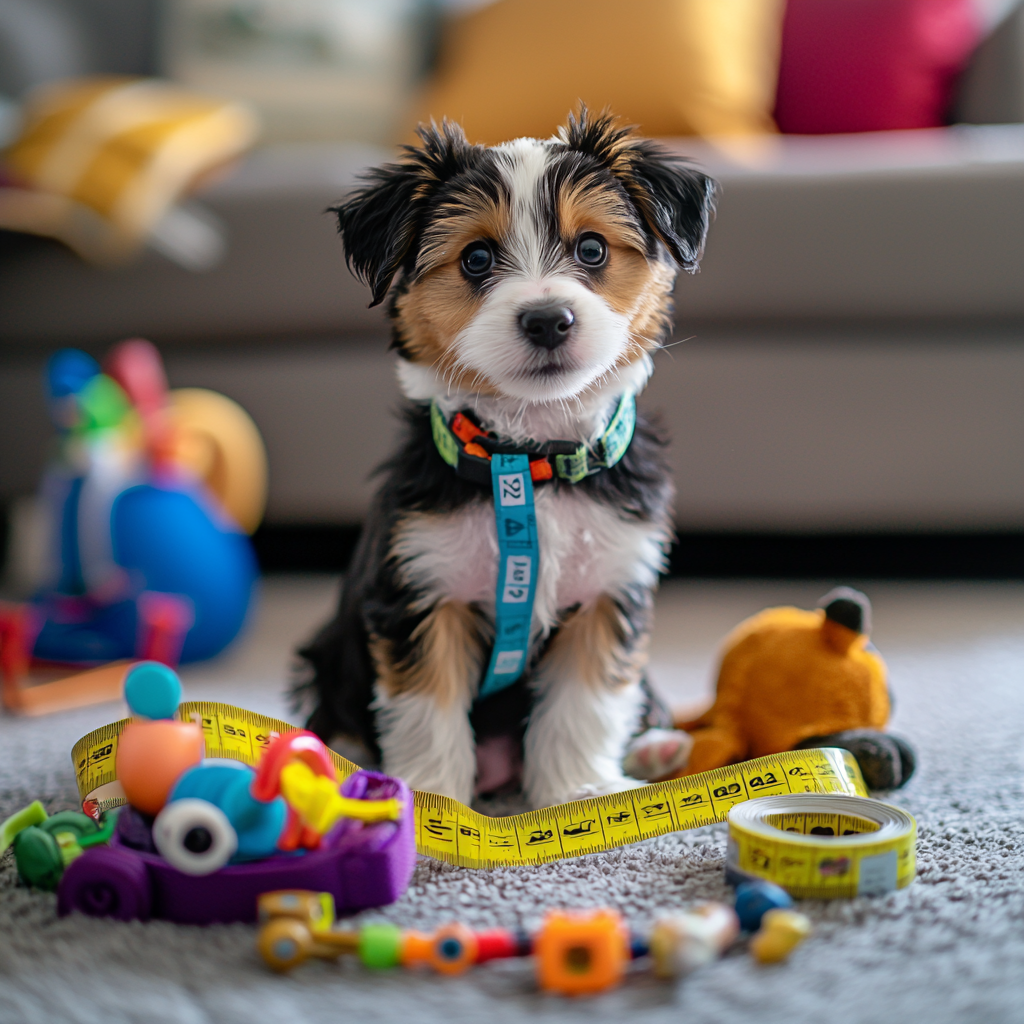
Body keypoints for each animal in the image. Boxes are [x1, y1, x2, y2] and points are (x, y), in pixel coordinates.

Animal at [292, 105, 716, 806]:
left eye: (592, 249)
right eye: (476, 258)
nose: (547, 320)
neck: (531, 461)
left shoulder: (609, 587)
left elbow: (582, 704)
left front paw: (575, 792)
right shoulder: (421, 590)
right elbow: (427, 710)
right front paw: (430, 798)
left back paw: (658, 749)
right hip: (329, 650)